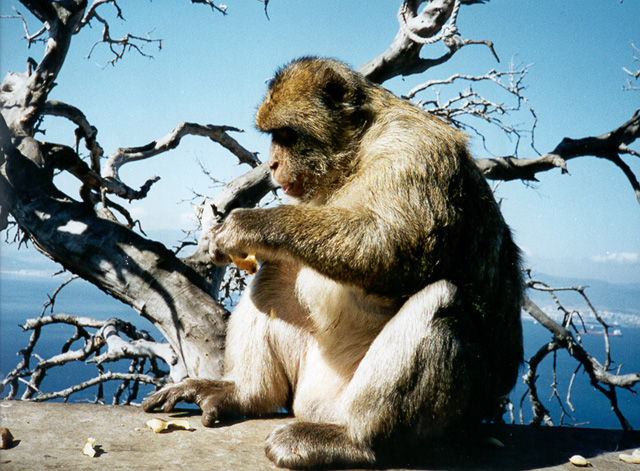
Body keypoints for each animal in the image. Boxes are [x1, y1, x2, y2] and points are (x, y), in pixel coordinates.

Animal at [142, 57, 524, 470]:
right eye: (273, 135)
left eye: (286, 135)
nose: (272, 164)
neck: (358, 151)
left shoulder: (414, 153)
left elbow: (395, 248)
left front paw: (248, 224)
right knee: (281, 271)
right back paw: (245, 393)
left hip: (399, 405)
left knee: (441, 300)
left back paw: (357, 441)